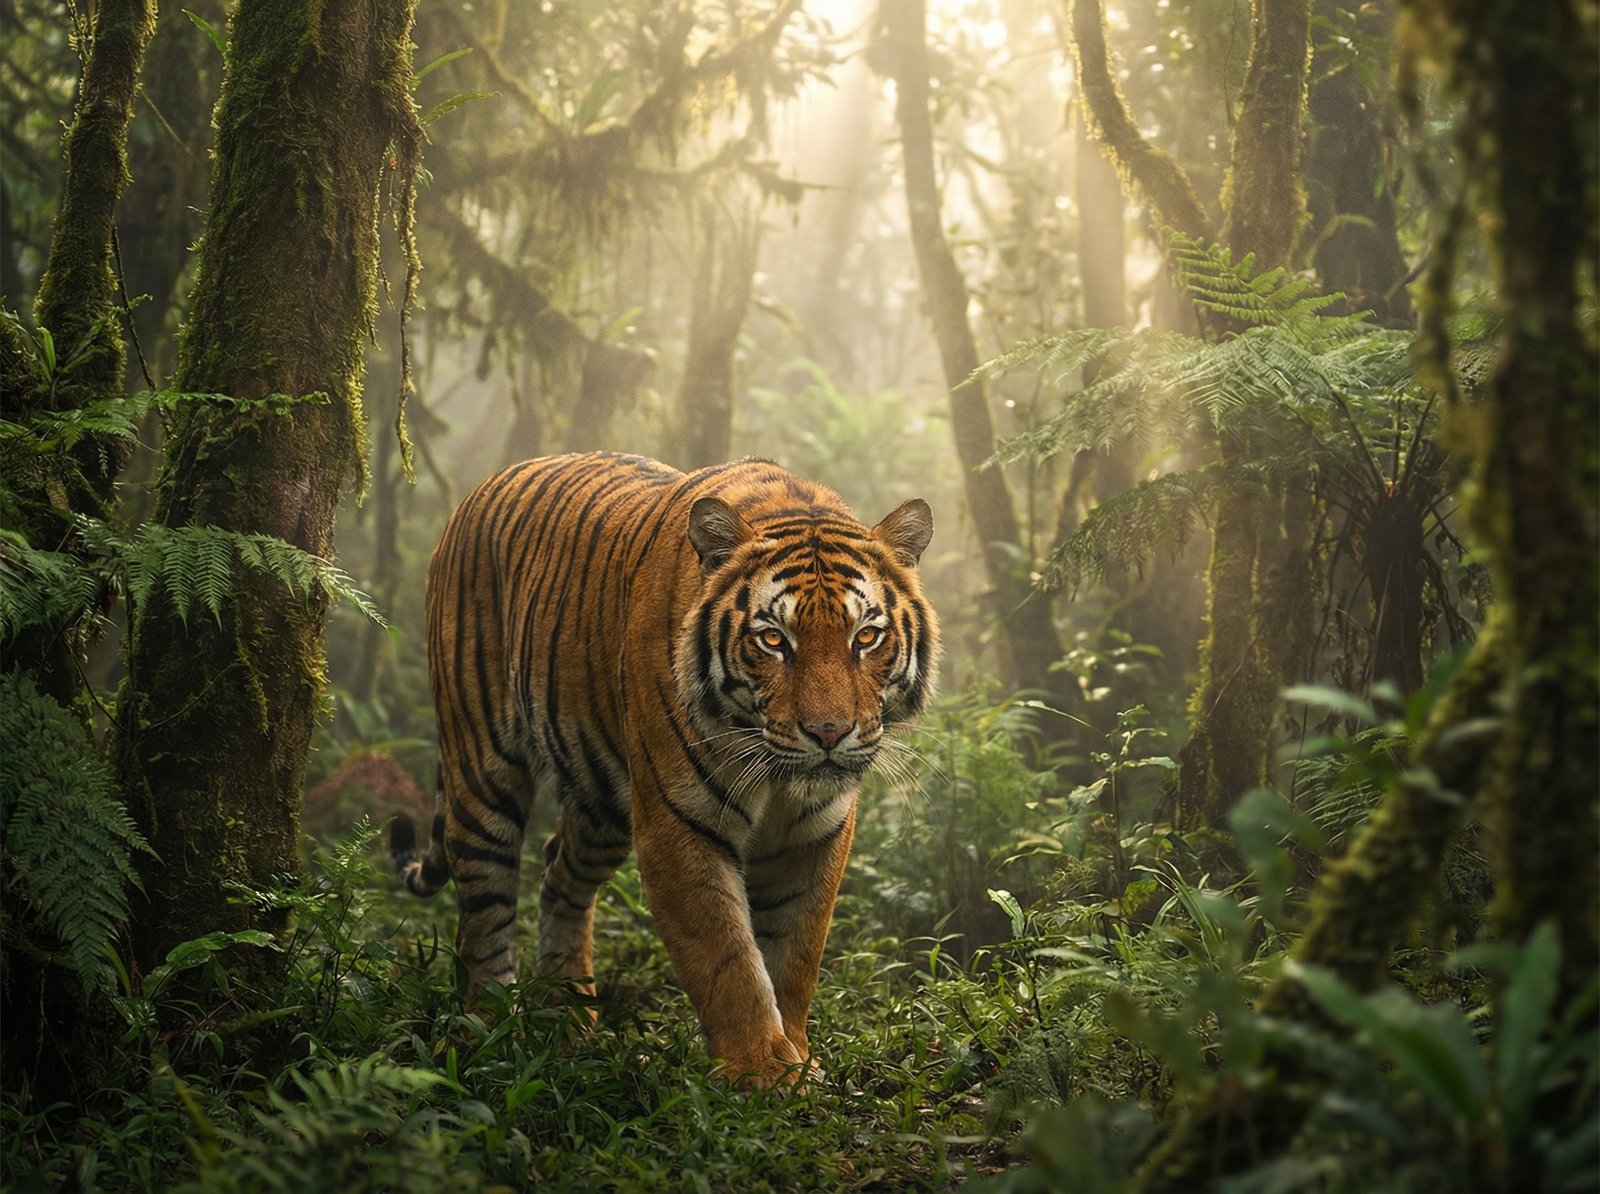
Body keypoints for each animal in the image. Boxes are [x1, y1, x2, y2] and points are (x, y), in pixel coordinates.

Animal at [390, 451, 939, 1085]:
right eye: (774, 639)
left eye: (866, 636)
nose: (828, 733)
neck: (776, 775)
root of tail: (484, 486)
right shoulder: (679, 824)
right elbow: (728, 959)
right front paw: (760, 1071)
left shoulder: (816, 834)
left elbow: (795, 954)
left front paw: (797, 1060)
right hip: (483, 766)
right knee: (484, 904)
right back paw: (488, 1031)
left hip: (602, 804)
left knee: (559, 876)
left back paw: (568, 1015)